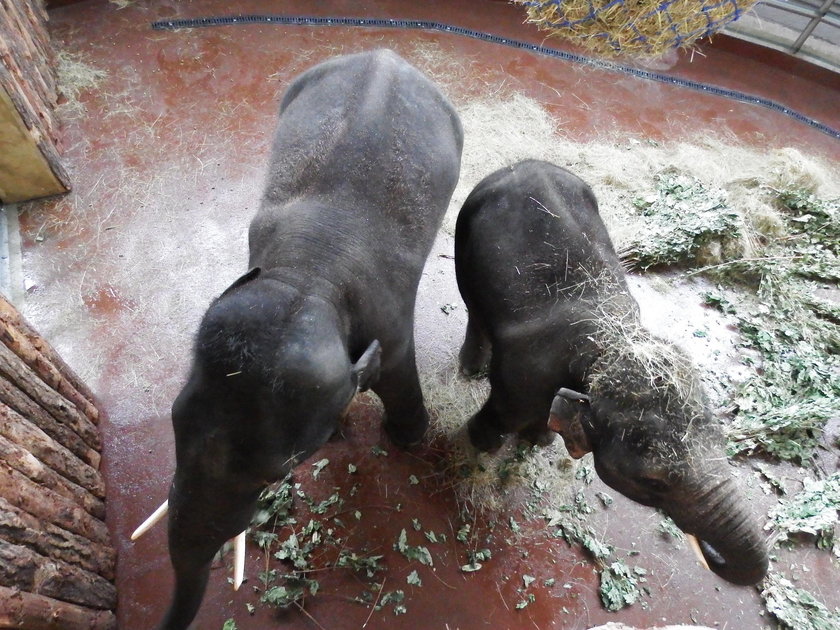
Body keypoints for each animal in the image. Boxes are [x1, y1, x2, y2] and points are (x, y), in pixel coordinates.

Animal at [144, 50, 460, 630]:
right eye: (174, 418)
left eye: (279, 471)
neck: (308, 275)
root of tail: (386, 54)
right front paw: (336, 434)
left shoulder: (388, 319)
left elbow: (397, 371)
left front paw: (407, 439)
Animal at [456, 159, 772, 588]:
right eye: (654, 482)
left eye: (723, 441)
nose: (710, 557)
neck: (612, 340)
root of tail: (521, 164)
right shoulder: (522, 377)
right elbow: (505, 413)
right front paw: (479, 448)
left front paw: (538, 441)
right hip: (464, 227)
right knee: (472, 305)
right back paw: (470, 368)